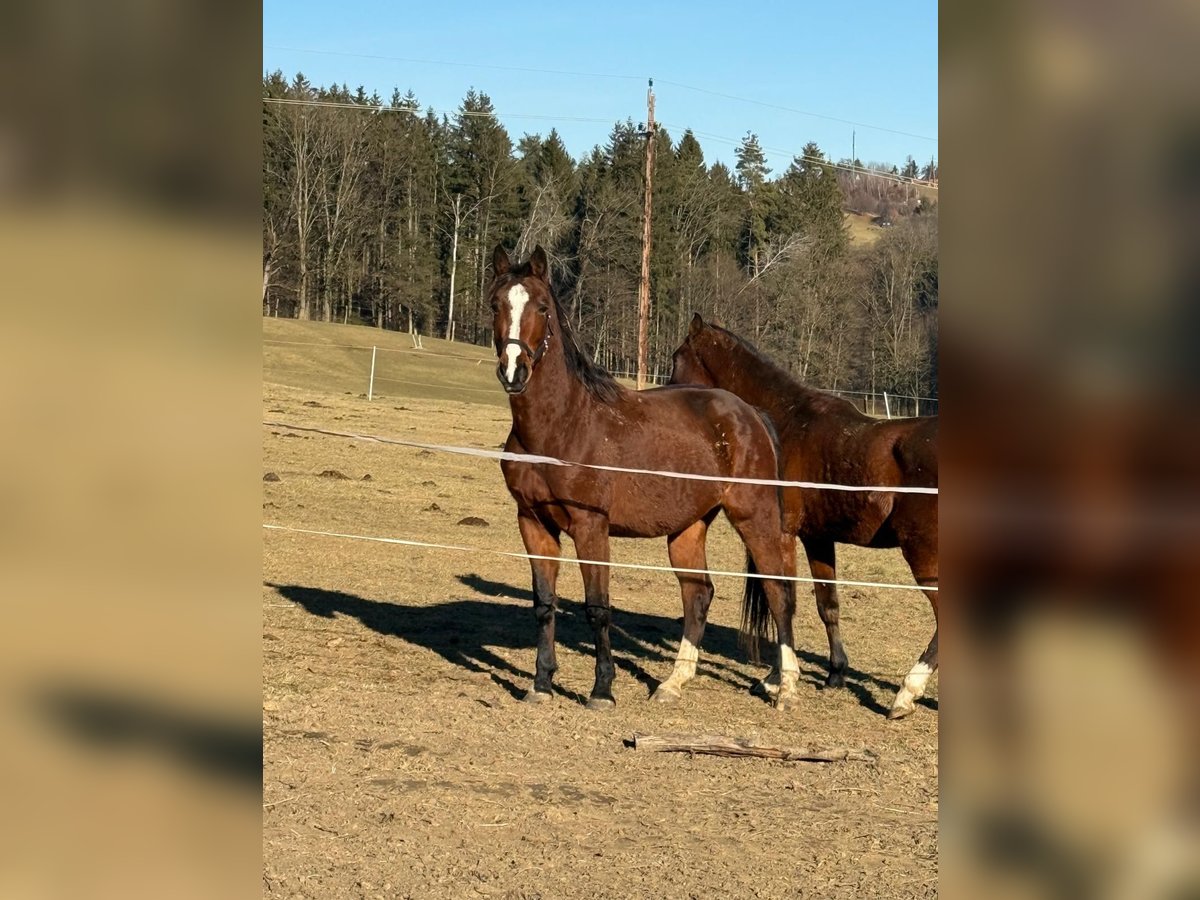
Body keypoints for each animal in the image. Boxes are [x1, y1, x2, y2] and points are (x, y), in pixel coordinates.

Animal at [492, 247, 801, 710]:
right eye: (496, 304)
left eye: (542, 307)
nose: (514, 371)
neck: (562, 426)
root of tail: (753, 415)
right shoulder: (533, 523)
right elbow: (544, 604)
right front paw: (541, 684)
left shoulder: (590, 527)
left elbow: (598, 608)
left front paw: (602, 690)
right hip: (689, 527)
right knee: (698, 594)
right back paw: (673, 683)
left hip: (755, 519)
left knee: (778, 592)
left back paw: (786, 689)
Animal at [667, 314, 936, 724]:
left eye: (676, 358)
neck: (784, 422)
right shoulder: (817, 539)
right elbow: (827, 604)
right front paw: (833, 673)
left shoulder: (784, 534)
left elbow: (784, 598)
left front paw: (777, 680)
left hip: (924, 555)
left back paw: (907, 693)